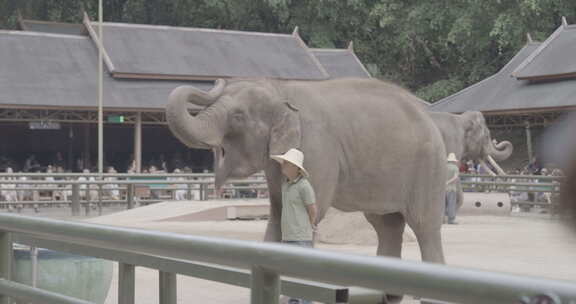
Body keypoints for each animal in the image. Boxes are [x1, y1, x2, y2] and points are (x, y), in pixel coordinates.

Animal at [164, 78, 448, 280]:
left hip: (428, 166)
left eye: (238, 116)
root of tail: (430, 119)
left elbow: (313, 213)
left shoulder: (316, 150)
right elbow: (278, 215)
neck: (282, 90)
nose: (216, 80)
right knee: (386, 225)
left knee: (424, 225)